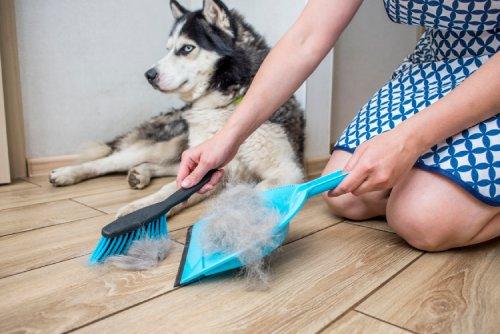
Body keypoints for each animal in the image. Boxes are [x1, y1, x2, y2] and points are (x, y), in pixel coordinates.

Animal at [49, 0, 304, 217]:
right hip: (167, 144)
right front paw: (138, 212)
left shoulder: (287, 170)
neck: (227, 107)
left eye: (187, 48)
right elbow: (170, 193)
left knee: (163, 166)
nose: (149, 75)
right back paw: (67, 173)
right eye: (168, 49)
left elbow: (257, 190)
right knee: (108, 161)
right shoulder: (210, 163)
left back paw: (140, 173)